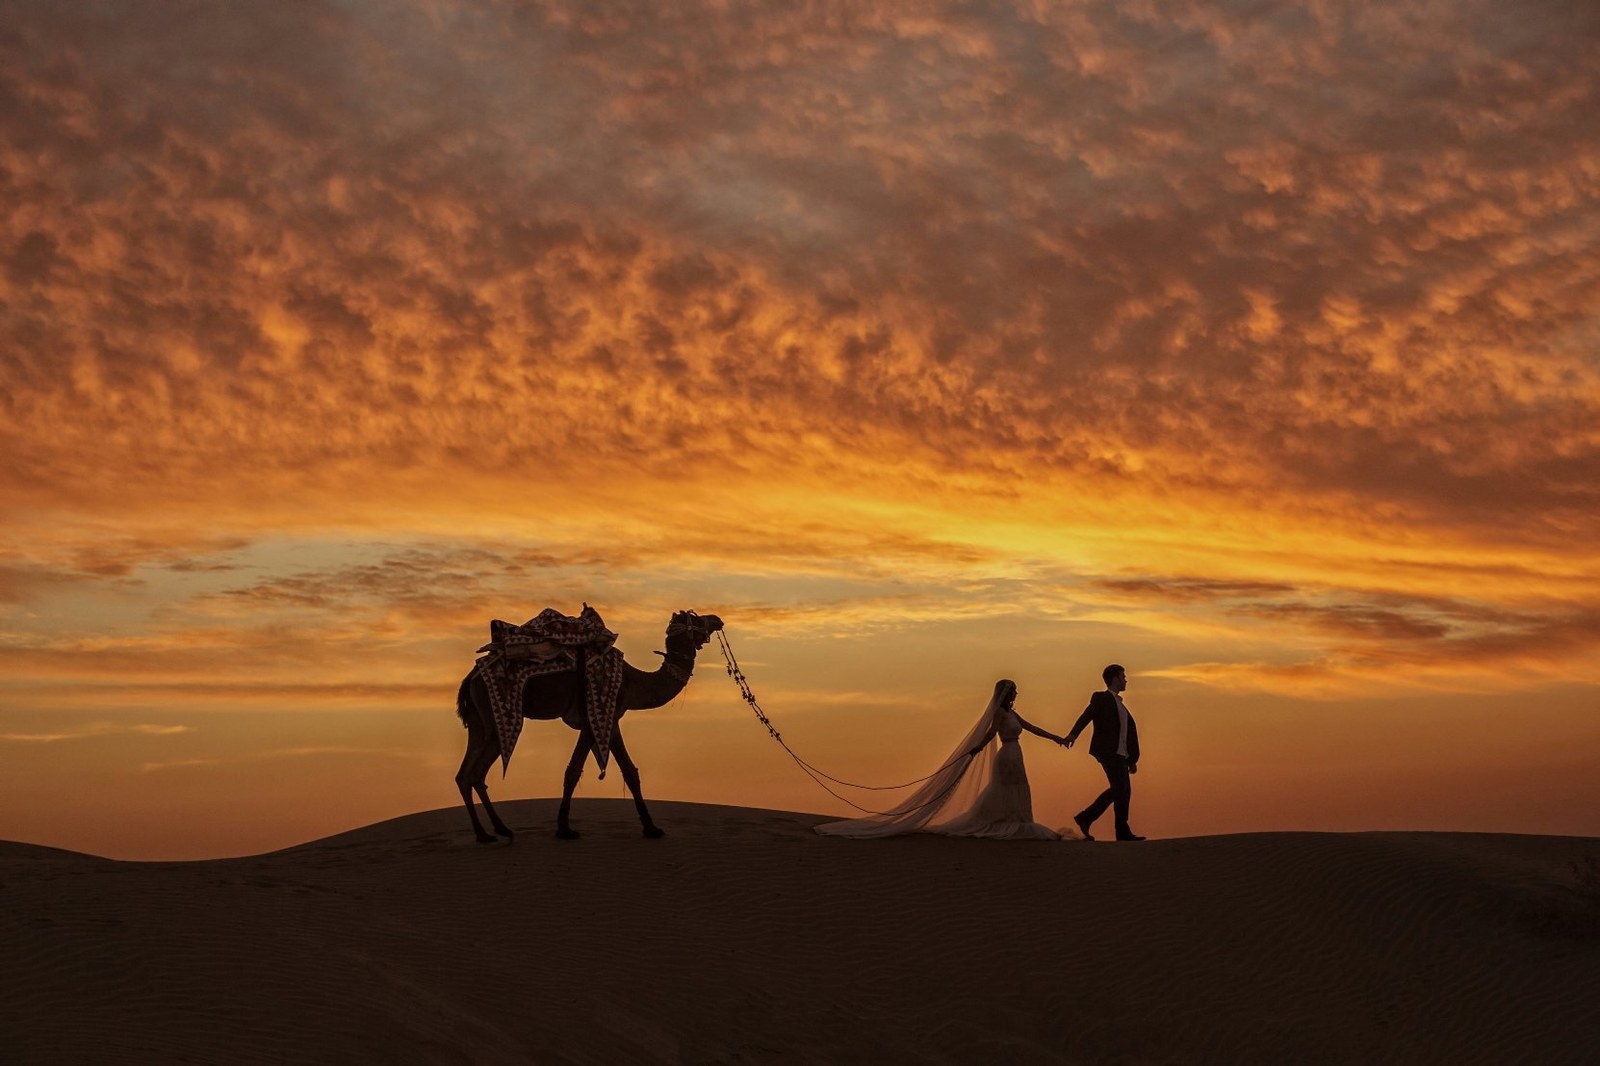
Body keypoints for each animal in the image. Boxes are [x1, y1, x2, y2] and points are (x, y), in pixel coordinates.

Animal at [454, 605, 723, 838]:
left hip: (478, 722)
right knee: (476, 773)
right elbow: (574, 771)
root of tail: (470, 678)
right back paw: (500, 830)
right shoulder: (596, 716)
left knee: (464, 774)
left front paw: (650, 827)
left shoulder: (610, 718)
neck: (634, 681)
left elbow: (629, 771)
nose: (717, 619)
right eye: (696, 619)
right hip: (494, 721)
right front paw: (565, 829)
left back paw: (484, 834)